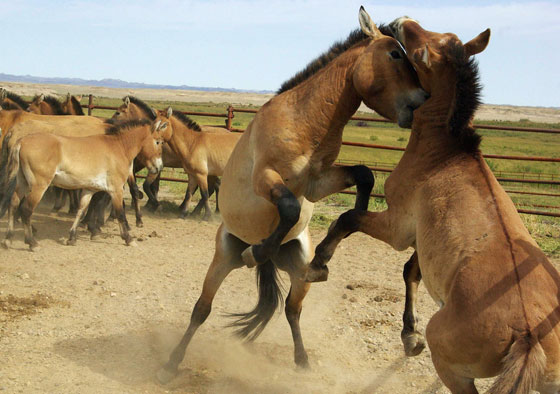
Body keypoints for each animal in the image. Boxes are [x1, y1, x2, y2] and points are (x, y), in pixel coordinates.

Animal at [0, 118, 166, 251]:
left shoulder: (89, 189)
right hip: (38, 186)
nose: (159, 167)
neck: (119, 147)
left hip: (22, 183)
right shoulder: (116, 190)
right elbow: (120, 213)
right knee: (26, 210)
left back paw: (8, 239)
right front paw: (128, 239)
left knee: (13, 204)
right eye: (158, 141)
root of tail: (21, 141)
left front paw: (72, 237)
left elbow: (81, 210)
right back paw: (32, 243)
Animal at [155, 5, 426, 382]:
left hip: (296, 272)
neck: (304, 120)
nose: (423, 100)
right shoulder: (266, 178)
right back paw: (172, 362)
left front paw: (329, 253)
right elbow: (288, 207)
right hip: (222, 260)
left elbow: (364, 176)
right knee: (201, 309)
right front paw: (257, 251)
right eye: (395, 54)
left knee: (292, 310)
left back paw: (303, 355)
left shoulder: (316, 182)